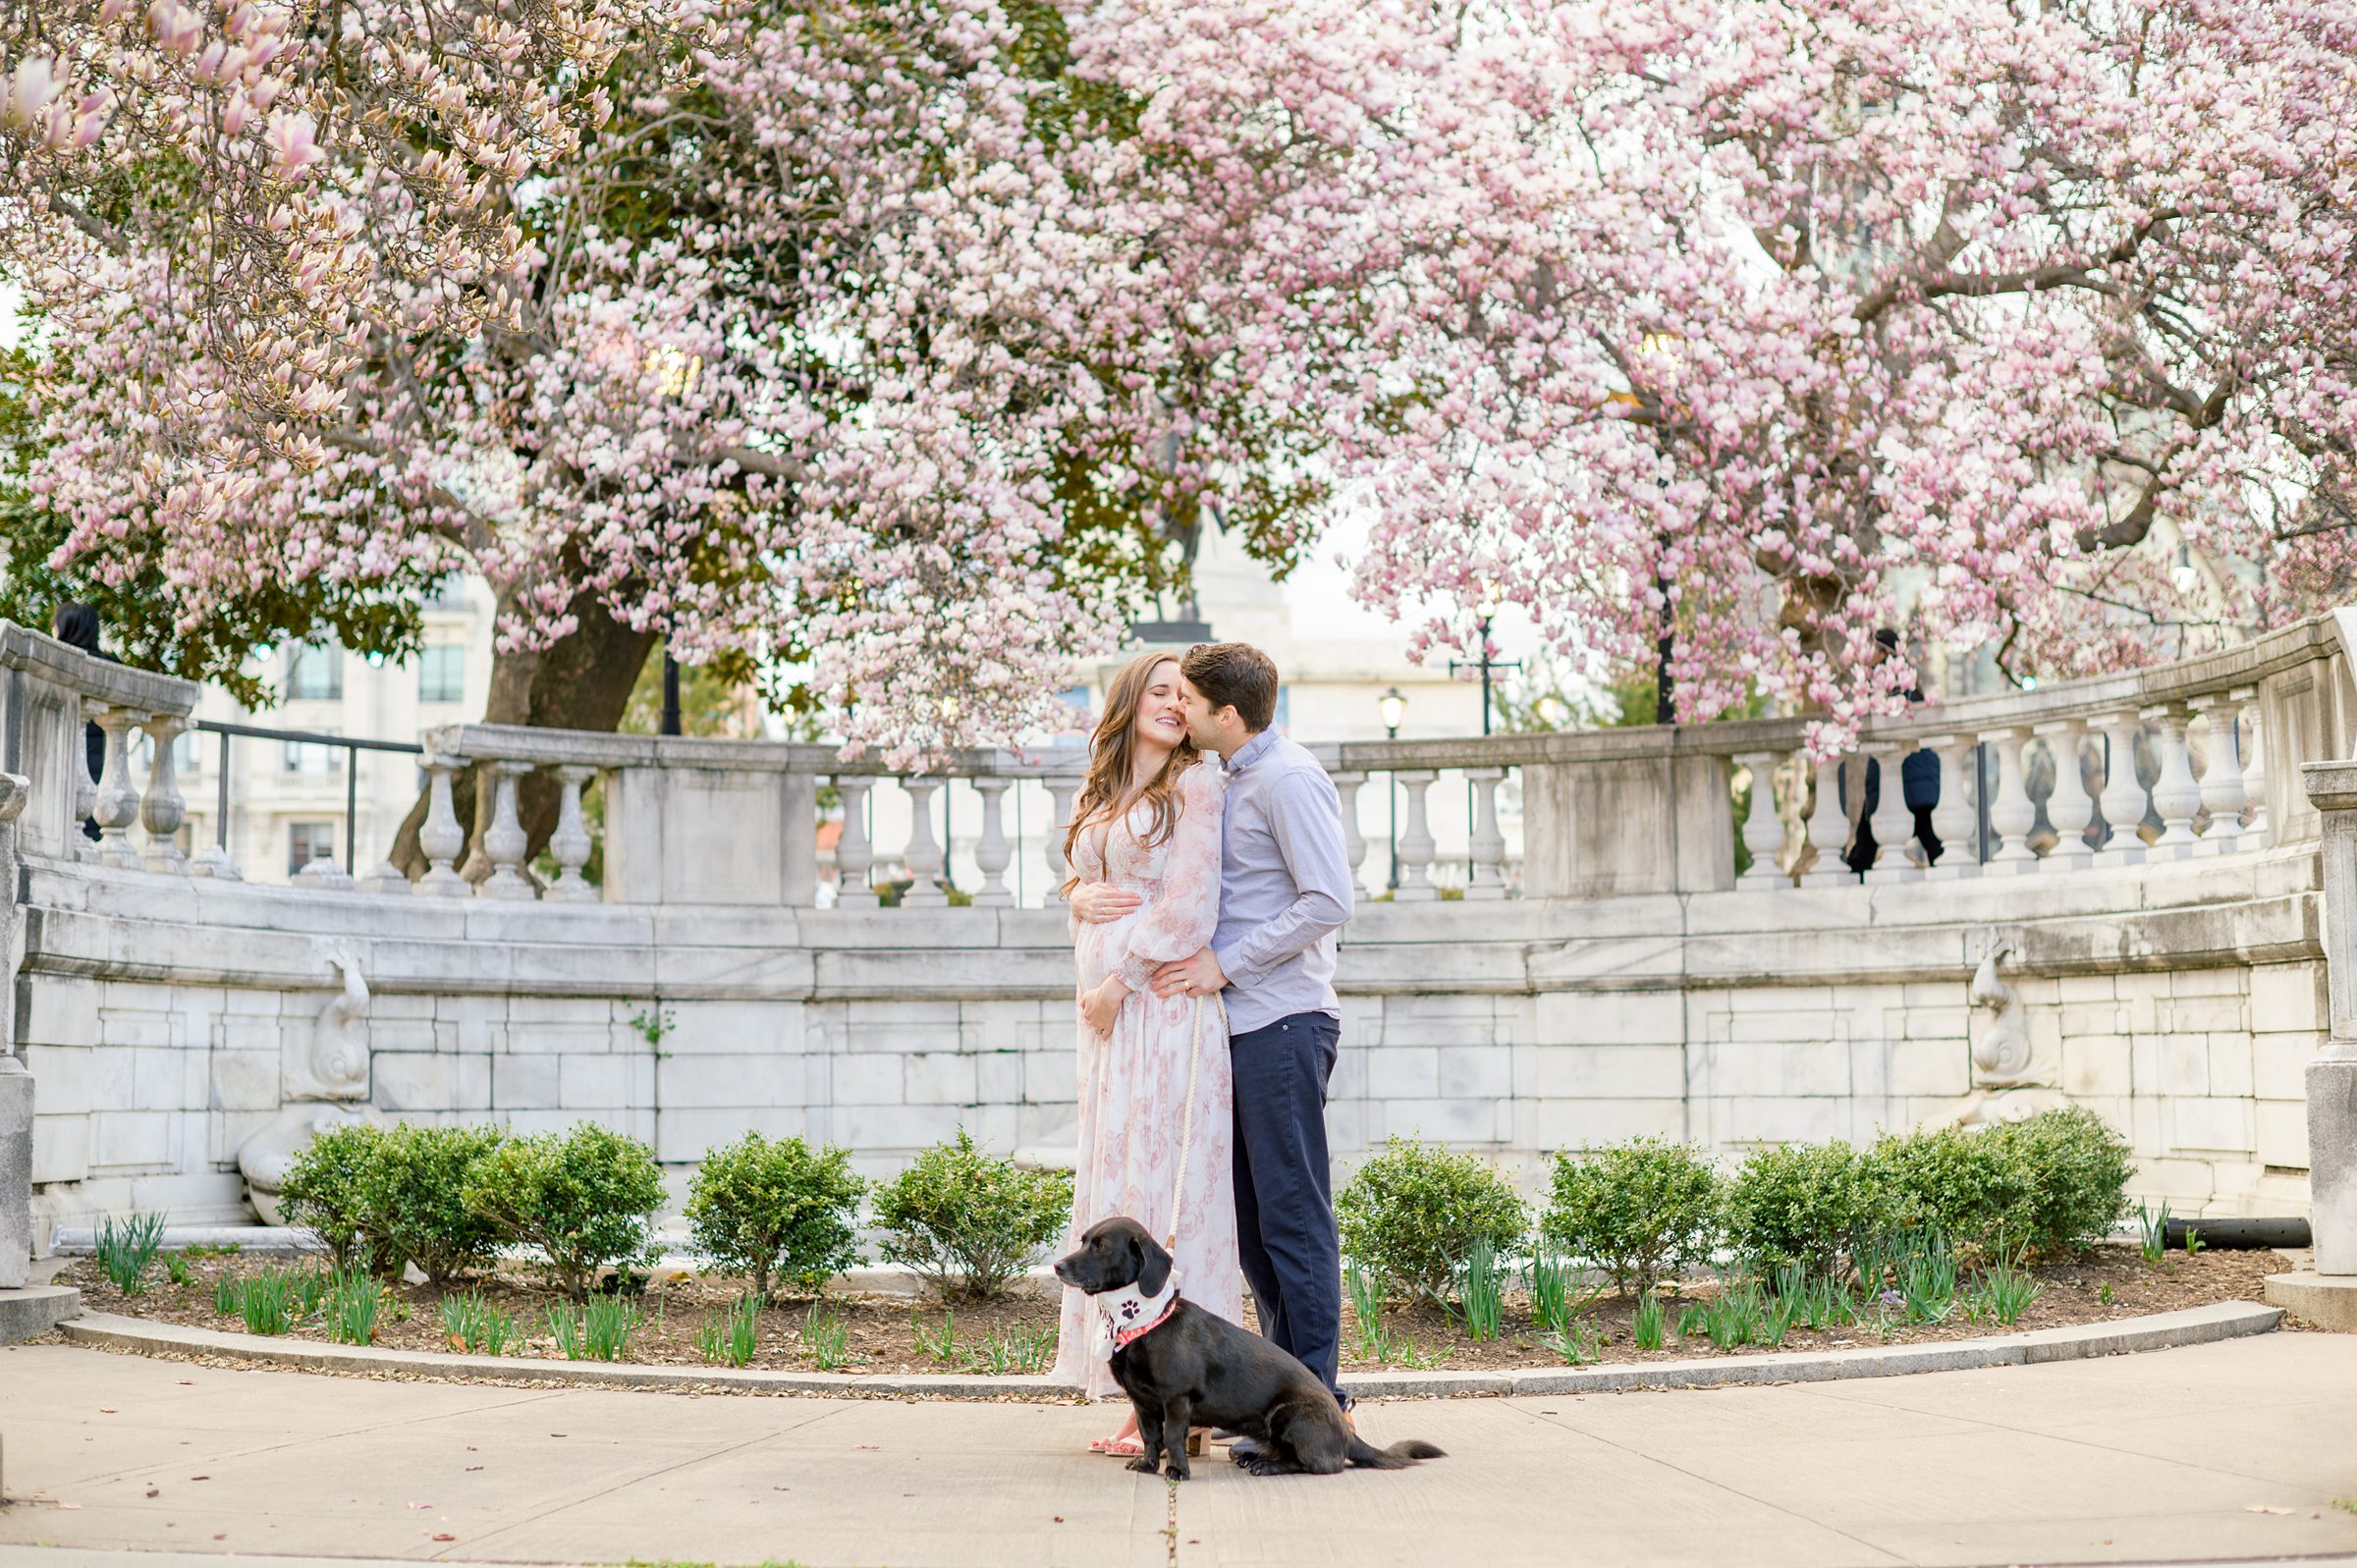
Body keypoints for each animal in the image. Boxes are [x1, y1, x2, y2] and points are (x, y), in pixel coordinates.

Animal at [1061, 1207, 1442, 1481]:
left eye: (1101, 1246)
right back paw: (1252, 1456)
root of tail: (1345, 1433)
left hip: (1289, 1415)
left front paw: (1177, 1470)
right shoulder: (1142, 1402)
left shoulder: (1176, 1399)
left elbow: (1171, 1437)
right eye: (1082, 1240)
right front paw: (1147, 1465)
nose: (1059, 1266)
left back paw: (1267, 1466)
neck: (1142, 1322)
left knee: (1318, 1464)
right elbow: (1150, 1437)